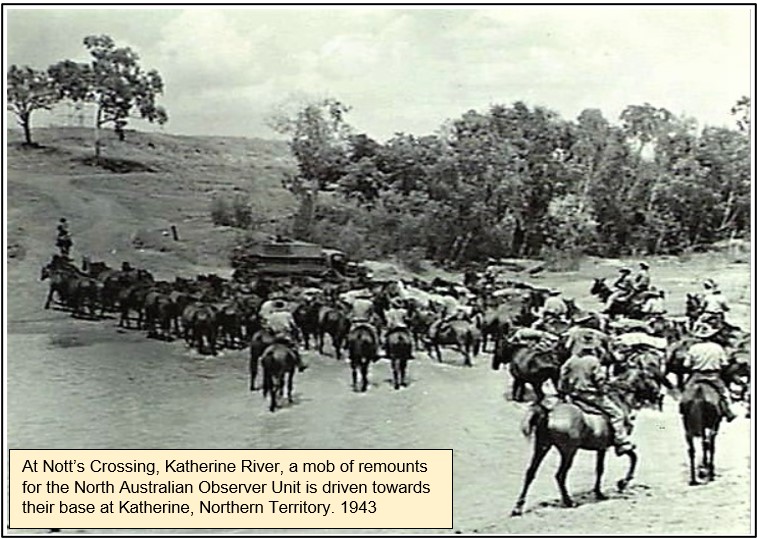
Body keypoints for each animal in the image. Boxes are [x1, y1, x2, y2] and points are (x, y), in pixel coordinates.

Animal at [508, 368, 660, 520]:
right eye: (650, 376)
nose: (659, 394)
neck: (620, 399)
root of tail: (549, 411)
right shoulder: (611, 446)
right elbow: (633, 457)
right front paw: (622, 483)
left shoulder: (601, 448)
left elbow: (599, 469)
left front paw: (599, 492)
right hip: (568, 451)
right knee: (560, 475)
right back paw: (569, 501)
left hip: (542, 447)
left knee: (530, 473)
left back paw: (518, 507)